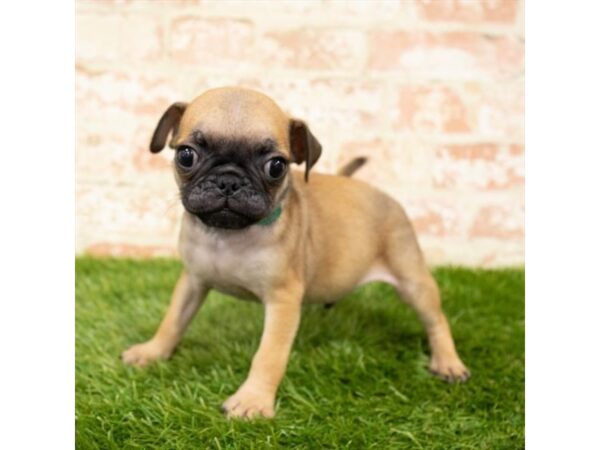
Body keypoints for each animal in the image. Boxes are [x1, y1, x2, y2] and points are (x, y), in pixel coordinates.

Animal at [122, 87, 468, 418]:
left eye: (276, 166)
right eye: (185, 155)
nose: (228, 180)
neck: (228, 235)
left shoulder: (283, 300)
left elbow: (269, 355)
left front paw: (252, 401)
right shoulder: (193, 281)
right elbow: (172, 321)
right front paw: (152, 352)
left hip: (412, 278)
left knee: (436, 319)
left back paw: (448, 362)